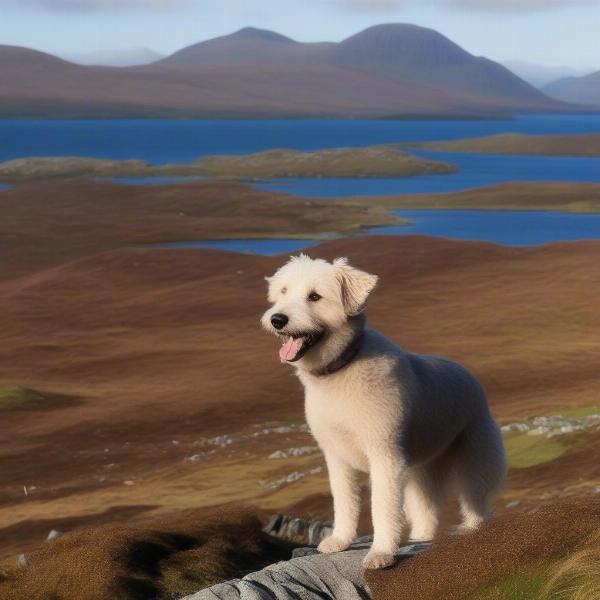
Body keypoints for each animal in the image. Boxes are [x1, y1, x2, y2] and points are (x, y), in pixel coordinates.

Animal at [262, 255, 506, 568]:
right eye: (283, 292)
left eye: (314, 296)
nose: (277, 319)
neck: (340, 372)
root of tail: (471, 378)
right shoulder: (337, 458)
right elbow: (345, 502)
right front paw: (340, 541)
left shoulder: (384, 456)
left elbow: (383, 508)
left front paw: (380, 554)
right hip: (419, 473)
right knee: (426, 509)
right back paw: (421, 538)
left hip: (474, 463)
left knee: (476, 503)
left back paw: (475, 531)